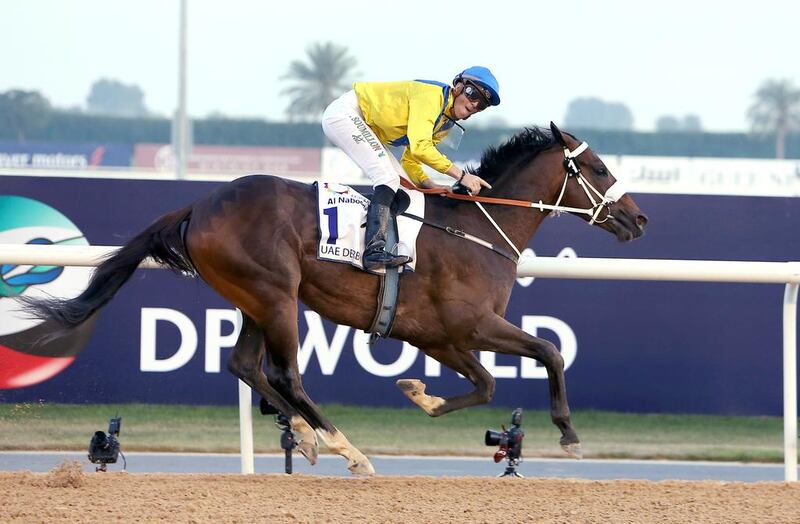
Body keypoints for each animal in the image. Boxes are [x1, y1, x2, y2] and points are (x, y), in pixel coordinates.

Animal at [21, 123, 648, 474]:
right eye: (598, 167)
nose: (639, 218)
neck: (475, 228)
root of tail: (200, 204)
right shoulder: (471, 325)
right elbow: (549, 351)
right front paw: (569, 434)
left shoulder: (437, 334)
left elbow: (487, 384)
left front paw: (419, 394)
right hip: (276, 294)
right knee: (285, 373)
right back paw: (346, 447)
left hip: (256, 296)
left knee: (244, 364)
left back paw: (305, 433)